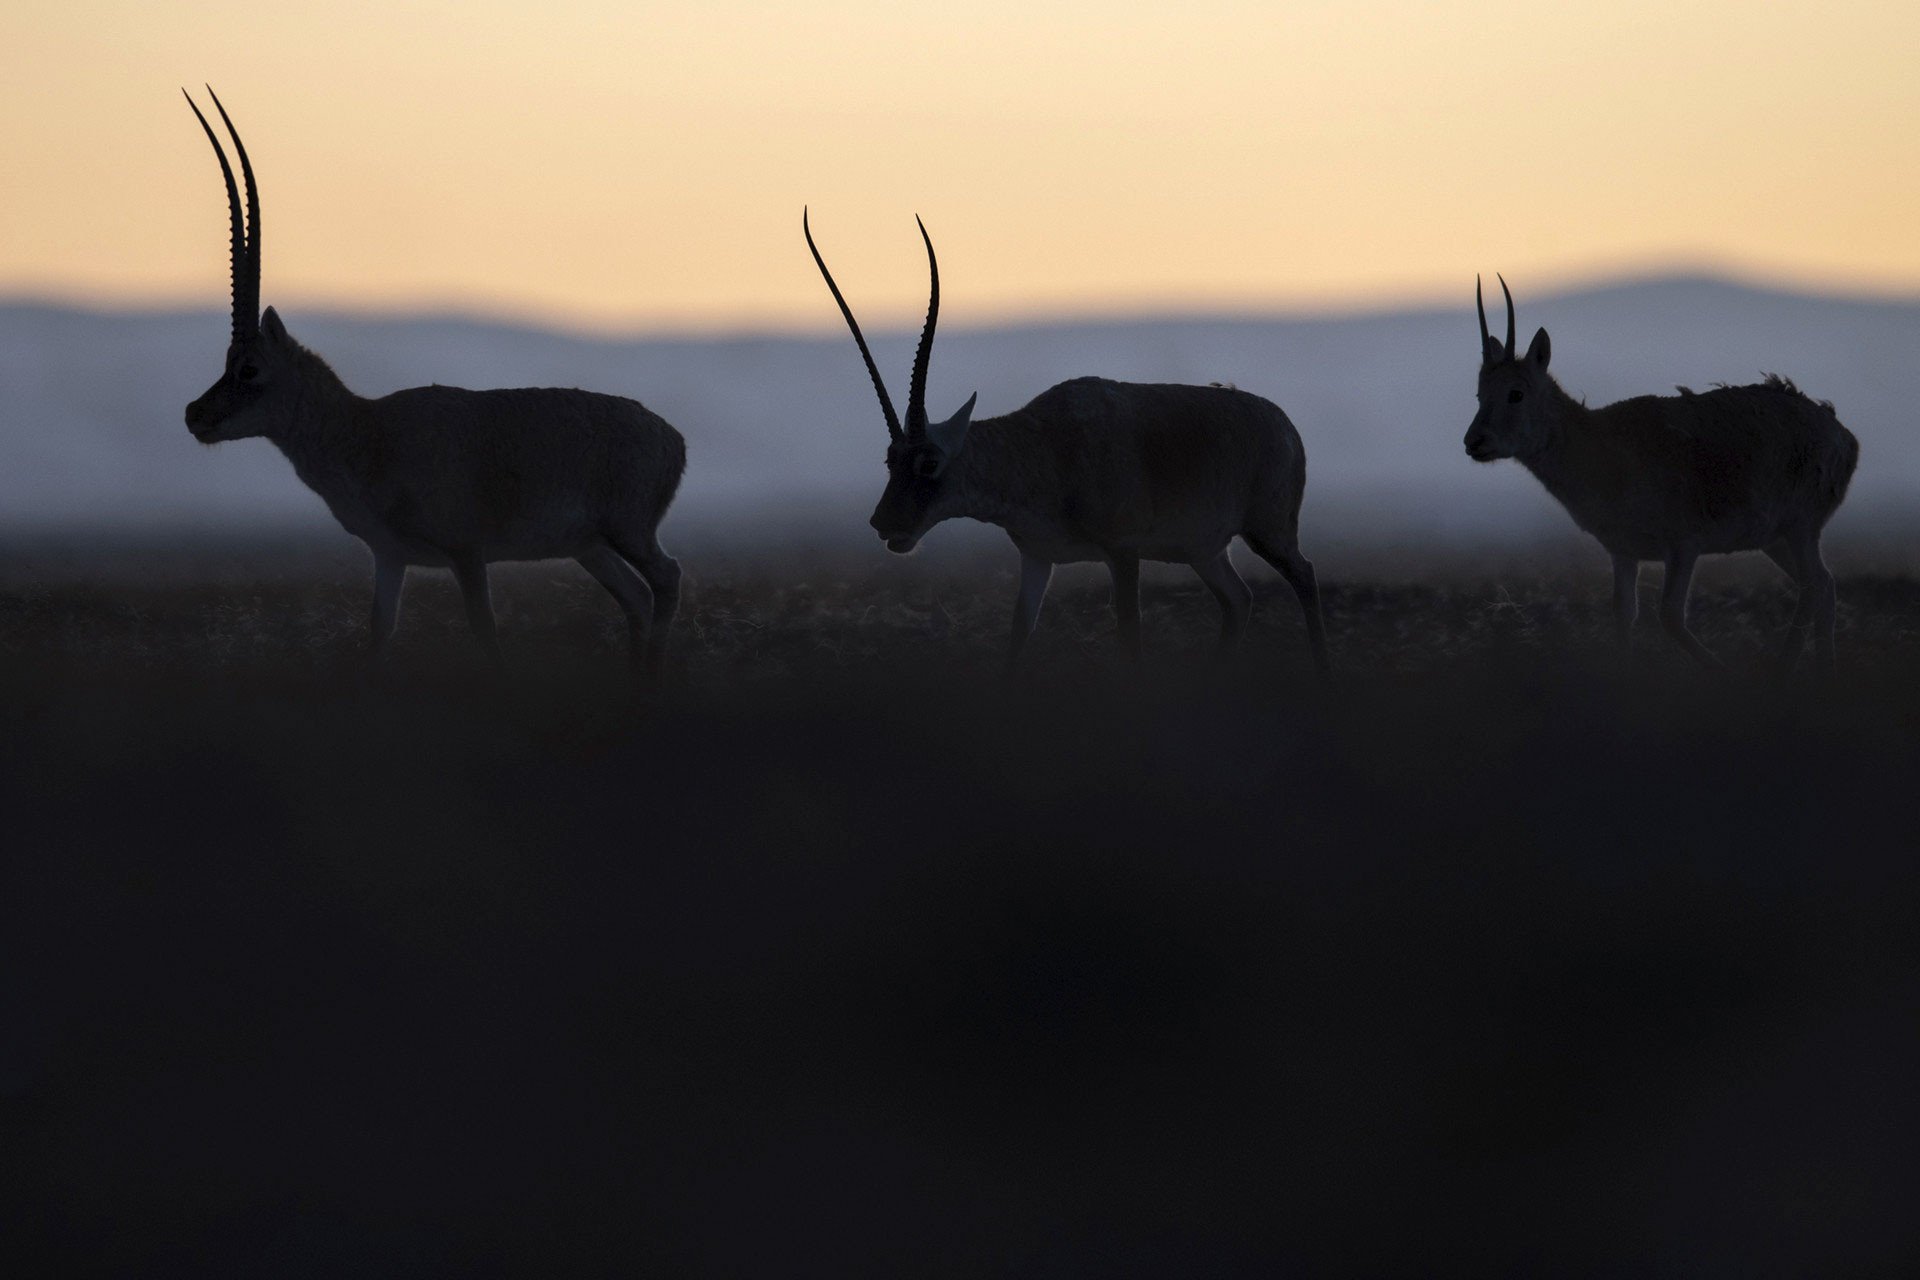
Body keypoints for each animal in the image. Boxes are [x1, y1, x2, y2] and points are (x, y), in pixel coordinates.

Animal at [181, 89, 685, 676]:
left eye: (250, 369)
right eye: (226, 361)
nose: (195, 415)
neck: (367, 432)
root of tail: (672, 439)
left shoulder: (466, 554)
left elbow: (485, 632)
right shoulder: (390, 557)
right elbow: (379, 632)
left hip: (629, 533)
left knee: (667, 579)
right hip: (592, 548)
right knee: (636, 598)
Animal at [804, 210, 1330, 675]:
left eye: (929, 462)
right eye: (891, 460)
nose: (882, 522)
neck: (1043, 449)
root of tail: (1284, 425)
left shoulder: (1123, 553)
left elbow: (1129, 638)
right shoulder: (1038, 558)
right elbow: (1018, 635)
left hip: (1268, 531)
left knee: (1304, 575)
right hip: (1204, 551)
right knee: (1239, 600)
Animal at [1464, 276, 1859, 669]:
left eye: (1516, 393)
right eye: (1480, 394)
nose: (1473, 442)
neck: (1601, 445)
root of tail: (1843, 435)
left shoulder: (1684, 547)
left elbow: (1669, 616)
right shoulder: (1623, 553)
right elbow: (1624, 615)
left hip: (1800, 528)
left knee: (1814, 586)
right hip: (1775, 539)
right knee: (1823, 586)